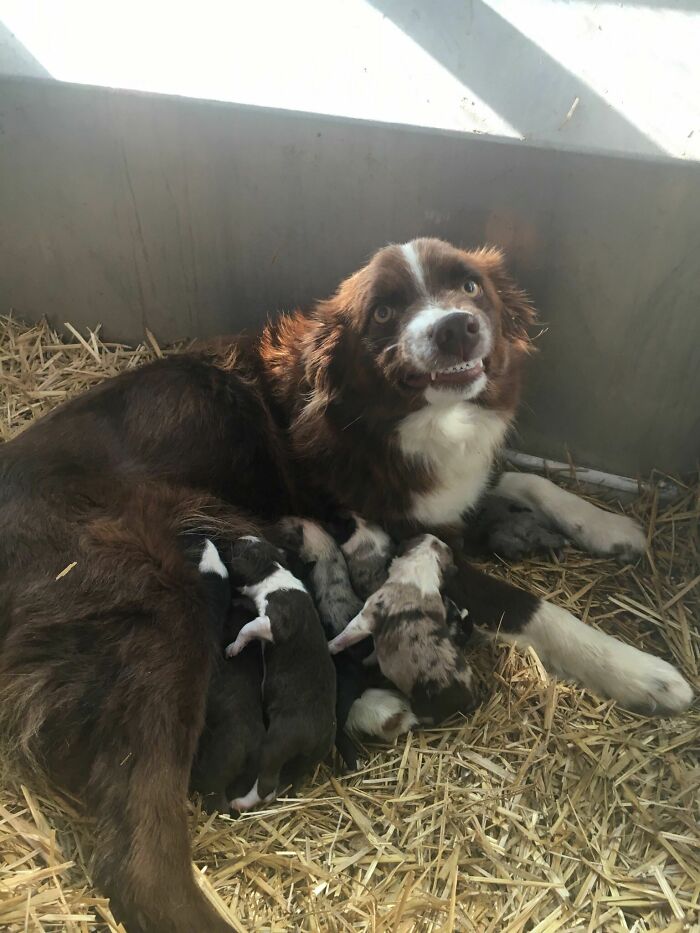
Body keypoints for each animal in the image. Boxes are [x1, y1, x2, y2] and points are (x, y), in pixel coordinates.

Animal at [223, 536, 334, 812]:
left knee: (266, 784)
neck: (274, 572)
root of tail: (322, 735)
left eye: (235, 549)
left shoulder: (273, 623)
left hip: (277, 743)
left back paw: (240, 803)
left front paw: (232, 649)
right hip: (302, 760)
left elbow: (245, 629)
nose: (229, 541)